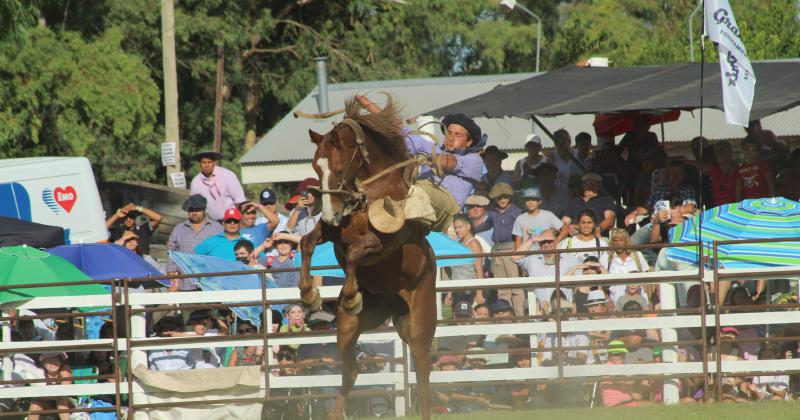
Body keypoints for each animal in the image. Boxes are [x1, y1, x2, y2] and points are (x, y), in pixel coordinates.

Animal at [300, 96, 438, 420]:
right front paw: (309, 293)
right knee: (351, 371)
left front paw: (351, 295)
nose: (329, 213)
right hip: (349, 328)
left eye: (339, 169)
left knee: (423, 373)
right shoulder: (330, 232)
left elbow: (354, 253)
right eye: (315, 167)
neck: (369, 190)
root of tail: (393, 305)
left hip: (420, 325)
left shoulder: (381, 242)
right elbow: (306, 242)